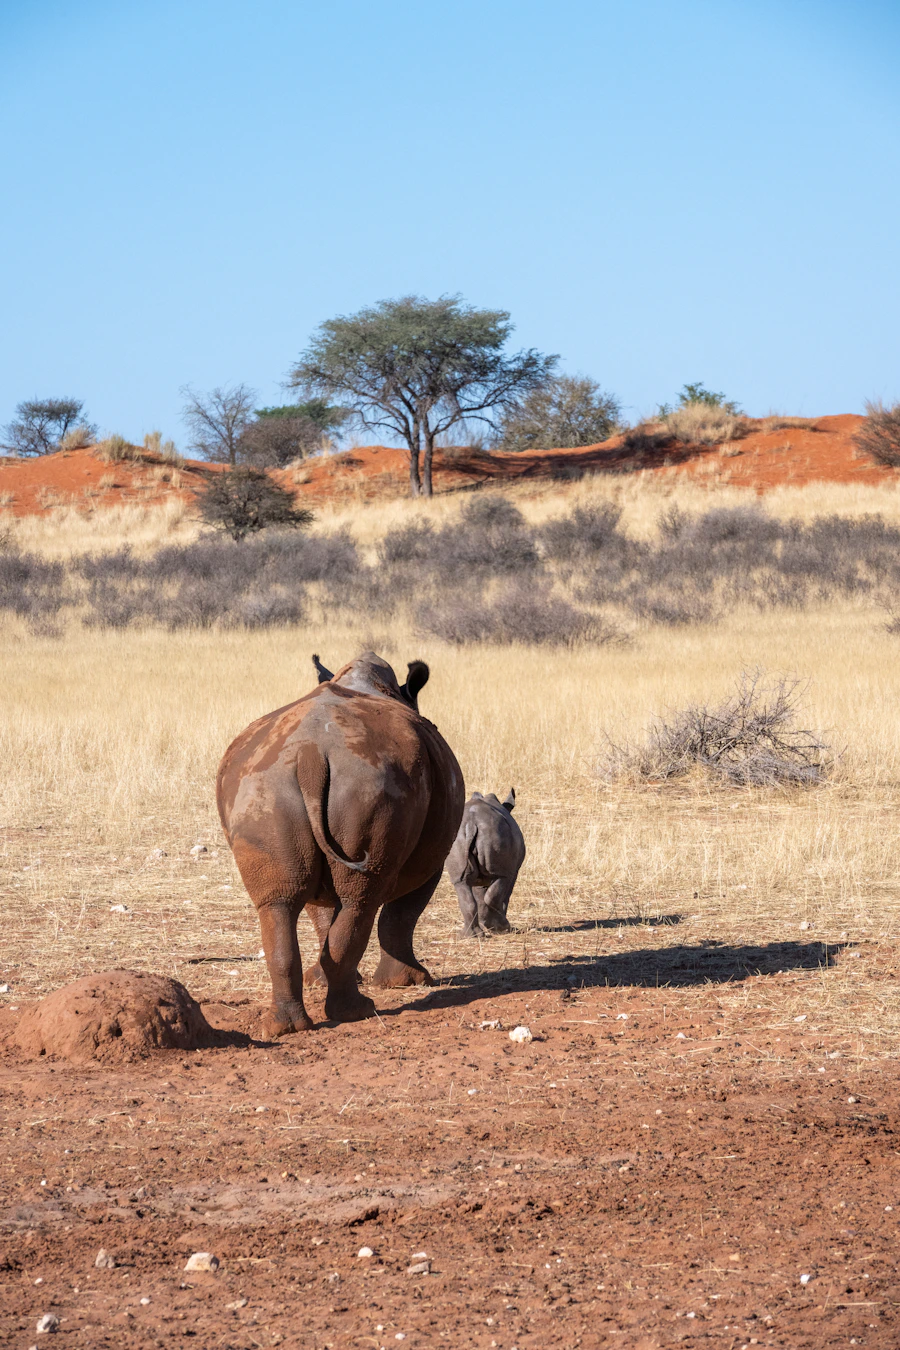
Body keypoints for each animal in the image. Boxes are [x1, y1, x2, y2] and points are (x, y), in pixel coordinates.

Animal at [216, 652, 464, 1033]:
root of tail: (310, 756)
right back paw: (357, 1011)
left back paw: (287, 1026)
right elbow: (402, 914)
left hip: (266, 787)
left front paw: (319, 980)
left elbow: (322, 914)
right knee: (362, 898)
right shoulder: (433, 858)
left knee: (281, 902)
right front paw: (407, 983)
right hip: (370, 786)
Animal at [446, 789, 525, 937]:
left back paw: (470, 936)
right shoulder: (514, 871)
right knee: (502, 879)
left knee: (460, 882)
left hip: (458, 839)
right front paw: (495, 927)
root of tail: (471, 824)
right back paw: (502, 927)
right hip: (495, 833)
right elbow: (505, 894)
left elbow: (479, 895)